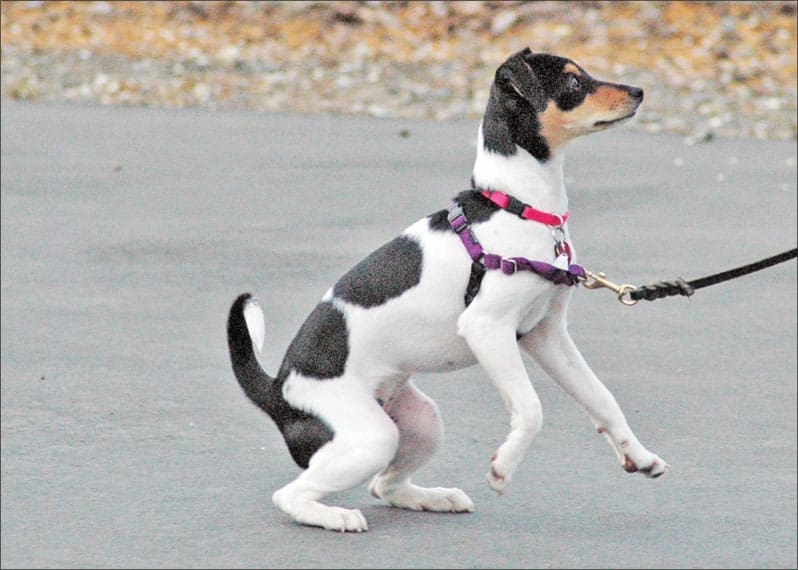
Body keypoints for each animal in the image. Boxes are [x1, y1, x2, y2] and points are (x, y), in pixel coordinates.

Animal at [228, 48, 672, 532]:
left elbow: (602, 399)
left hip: (420, 424)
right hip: (371, 438)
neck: (519, 207)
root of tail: (278, 391)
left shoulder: (547, 334)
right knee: (291, 494)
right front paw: (503, 467)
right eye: (574, 83)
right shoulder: (487, 328)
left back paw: (433, 497)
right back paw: (335, 516)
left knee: (384, 486)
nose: (639, 92)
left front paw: (639, 457)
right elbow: (531, 408)